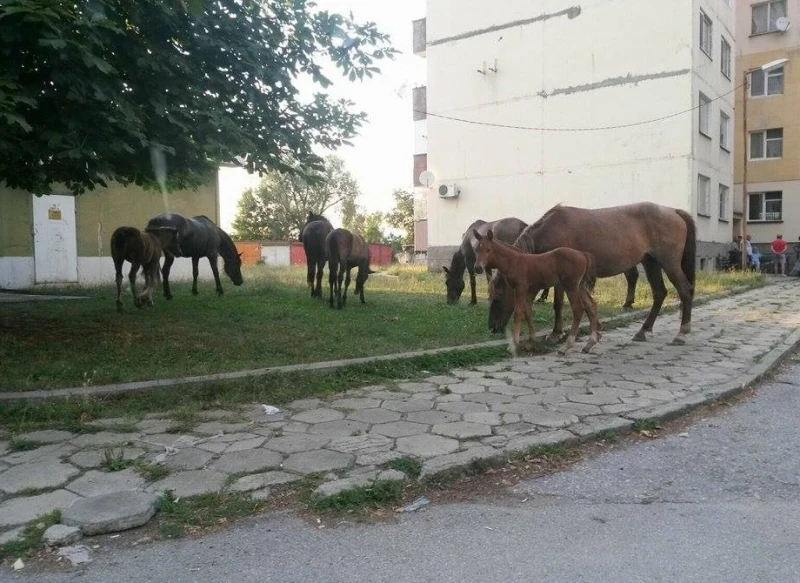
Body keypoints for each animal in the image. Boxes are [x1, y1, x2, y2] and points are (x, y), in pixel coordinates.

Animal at [472, 228, 596, 356]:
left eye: (488, 249)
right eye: (476, 249)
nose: (477, 268)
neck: (515, 261)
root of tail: (583, 255)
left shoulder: (520, 289)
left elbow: (518, 313)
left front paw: (513, 345)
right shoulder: (528, 292)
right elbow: (528, 314)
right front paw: (531, 343)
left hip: (571, 286)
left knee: (578, 309)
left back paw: (566, 347)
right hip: (580, 286)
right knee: (591, 306)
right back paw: (589, 344)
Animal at [488, 202, 692, 344]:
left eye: (498, 297)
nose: (492, 328)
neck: (551, 232)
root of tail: (673, 210)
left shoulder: (563, 279)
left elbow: (558, 304)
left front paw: (556, 334)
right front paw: (596, 330)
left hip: (670, 263)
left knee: (685, 290)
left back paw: (681, 333)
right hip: (651, 263)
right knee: (659, 293)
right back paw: (643, 331)